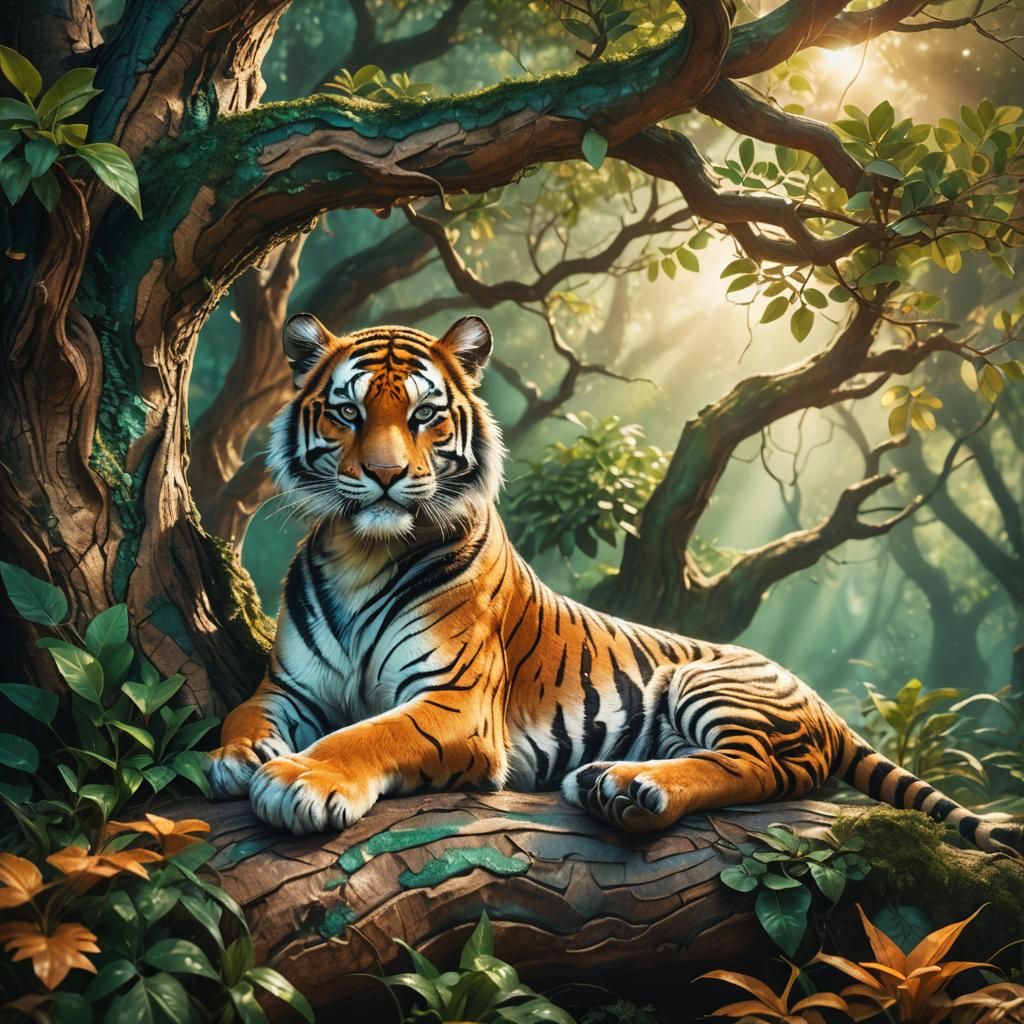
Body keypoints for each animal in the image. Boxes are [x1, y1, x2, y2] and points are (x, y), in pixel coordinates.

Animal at [204, 312, 1023, 857]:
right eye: (346, 412)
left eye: (426, 415)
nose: (383, 475)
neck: (363, 550)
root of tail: (819, 698)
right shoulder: (290, 686)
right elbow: (245, 711)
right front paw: (236, 757)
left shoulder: (454, 702)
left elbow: (369, 734)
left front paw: (302, 778)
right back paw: (610, 783)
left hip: (709, 683)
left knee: (759, 768)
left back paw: (632, 787)